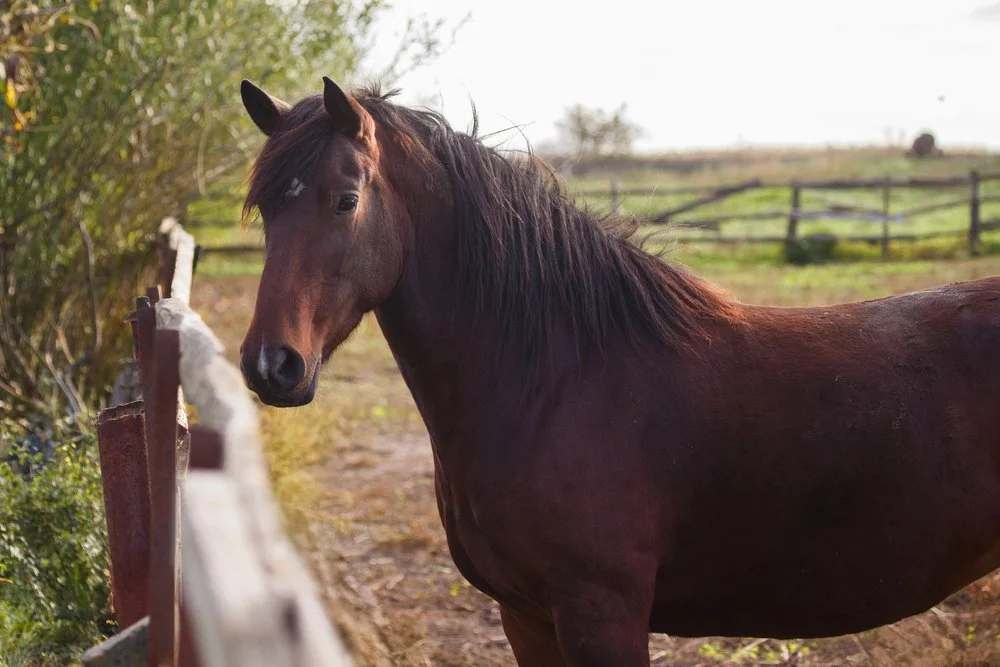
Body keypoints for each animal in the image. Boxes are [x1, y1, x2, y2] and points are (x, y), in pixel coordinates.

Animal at [236, 76, 1000, 666]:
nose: (272, 364)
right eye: (266, 207)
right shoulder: (526, 615)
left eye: (346, 199)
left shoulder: (602, 614)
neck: (553, 381)